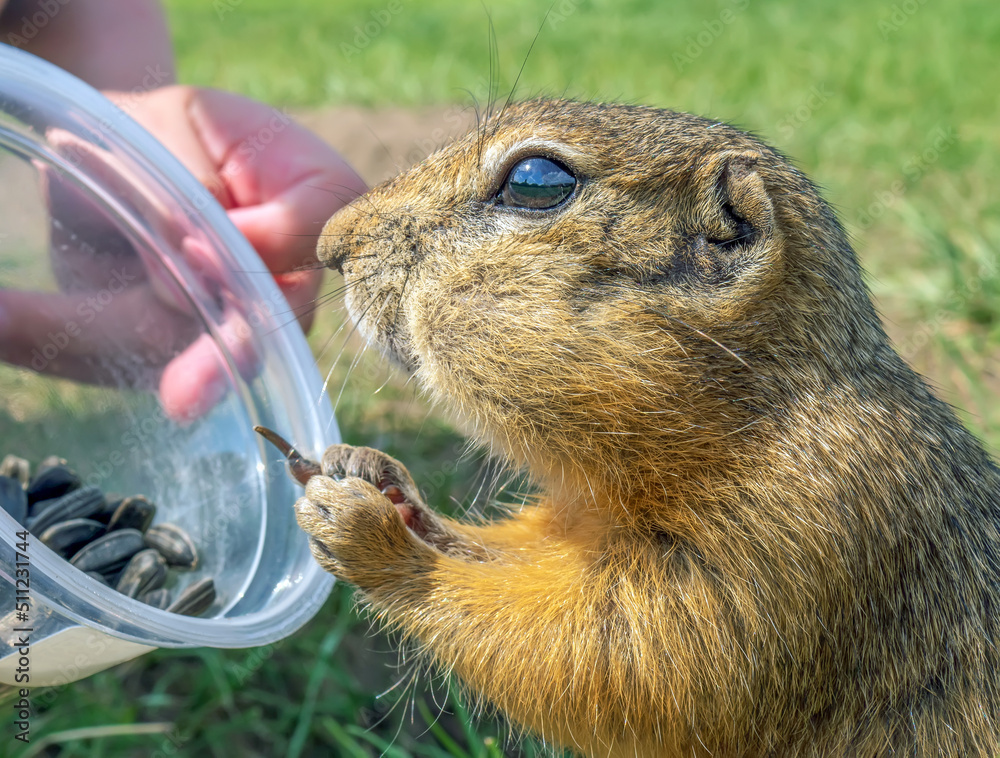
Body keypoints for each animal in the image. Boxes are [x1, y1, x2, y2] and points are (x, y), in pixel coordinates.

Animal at [286, 101, 1000, 758]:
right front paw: (377, 478)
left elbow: (620, 662)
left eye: (536, 181)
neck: (756, 408)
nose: (330, 244)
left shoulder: (805, 538)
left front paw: (373, 537)